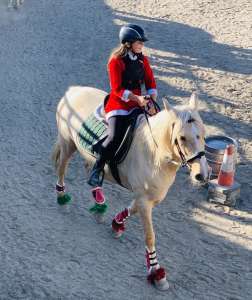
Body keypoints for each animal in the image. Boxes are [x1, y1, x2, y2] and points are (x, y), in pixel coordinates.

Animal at [51, 86, 209, 290]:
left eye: (203, 134)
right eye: (182, 137)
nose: (201, 175)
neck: (154, 153)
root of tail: (73, 90)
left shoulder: (148, 198)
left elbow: (130, 209)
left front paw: (117, 224)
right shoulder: (144, 200)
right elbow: (149, 236)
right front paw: (157, 274)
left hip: (87, 155)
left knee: (90, 170)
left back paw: (99, 205)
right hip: (67, 144)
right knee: (62, 168)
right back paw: (62, 199)